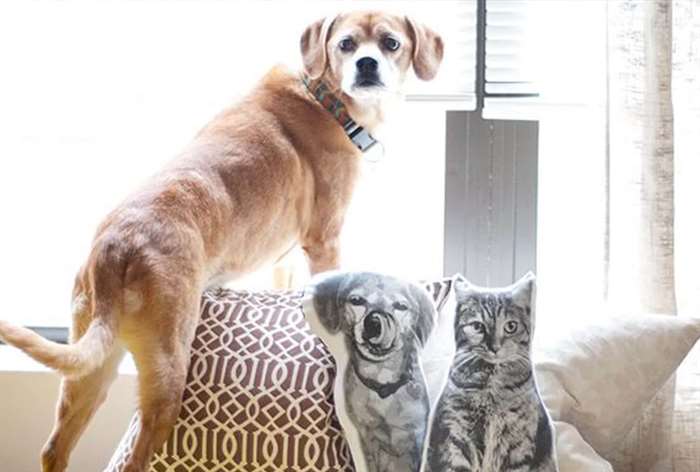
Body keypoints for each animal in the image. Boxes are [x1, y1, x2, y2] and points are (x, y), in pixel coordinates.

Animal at [0, 11, 442, 472]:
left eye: (391, 43)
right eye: (346, 44)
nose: (366, 65)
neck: (324, 97)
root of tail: (115, 248)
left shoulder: (284, 260)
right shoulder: (326, 239)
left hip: (90, 369)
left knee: (54, 447)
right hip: (167, 372)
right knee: (135, 456)